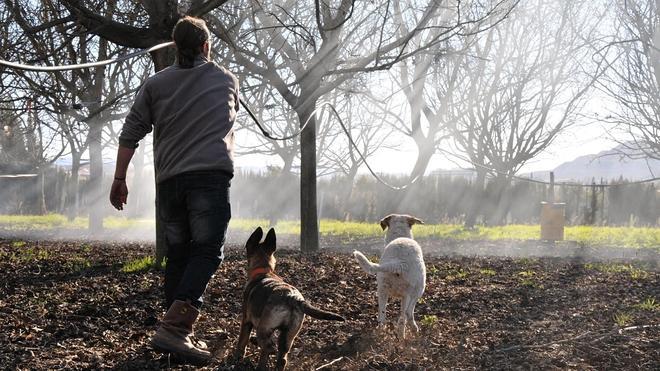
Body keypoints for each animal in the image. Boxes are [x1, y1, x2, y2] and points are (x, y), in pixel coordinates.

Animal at [233, 228, 346, 370]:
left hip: (264, 328)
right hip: (289, 333)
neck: (264, 271)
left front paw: (237, 356)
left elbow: (242, 340)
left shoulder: (246, 320)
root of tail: (293, 298)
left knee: (268, 347)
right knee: (281, 357)